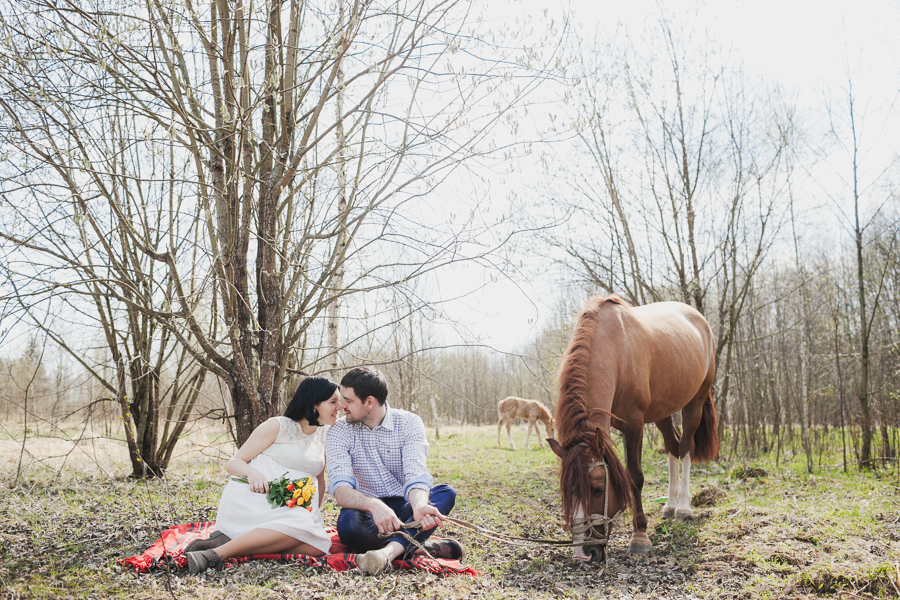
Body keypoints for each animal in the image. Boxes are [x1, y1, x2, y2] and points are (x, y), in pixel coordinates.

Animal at [544, 296, 720, 564]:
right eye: (567, 491)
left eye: (598, 489)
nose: (583, 554)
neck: (616, 351)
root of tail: (700, 320)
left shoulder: (634, 425)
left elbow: (635, 477)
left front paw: (639, 537)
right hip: (662, 410)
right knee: (672, 446)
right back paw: (669, 505)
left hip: (695, 402)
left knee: (685, 447)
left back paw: (682, 508)